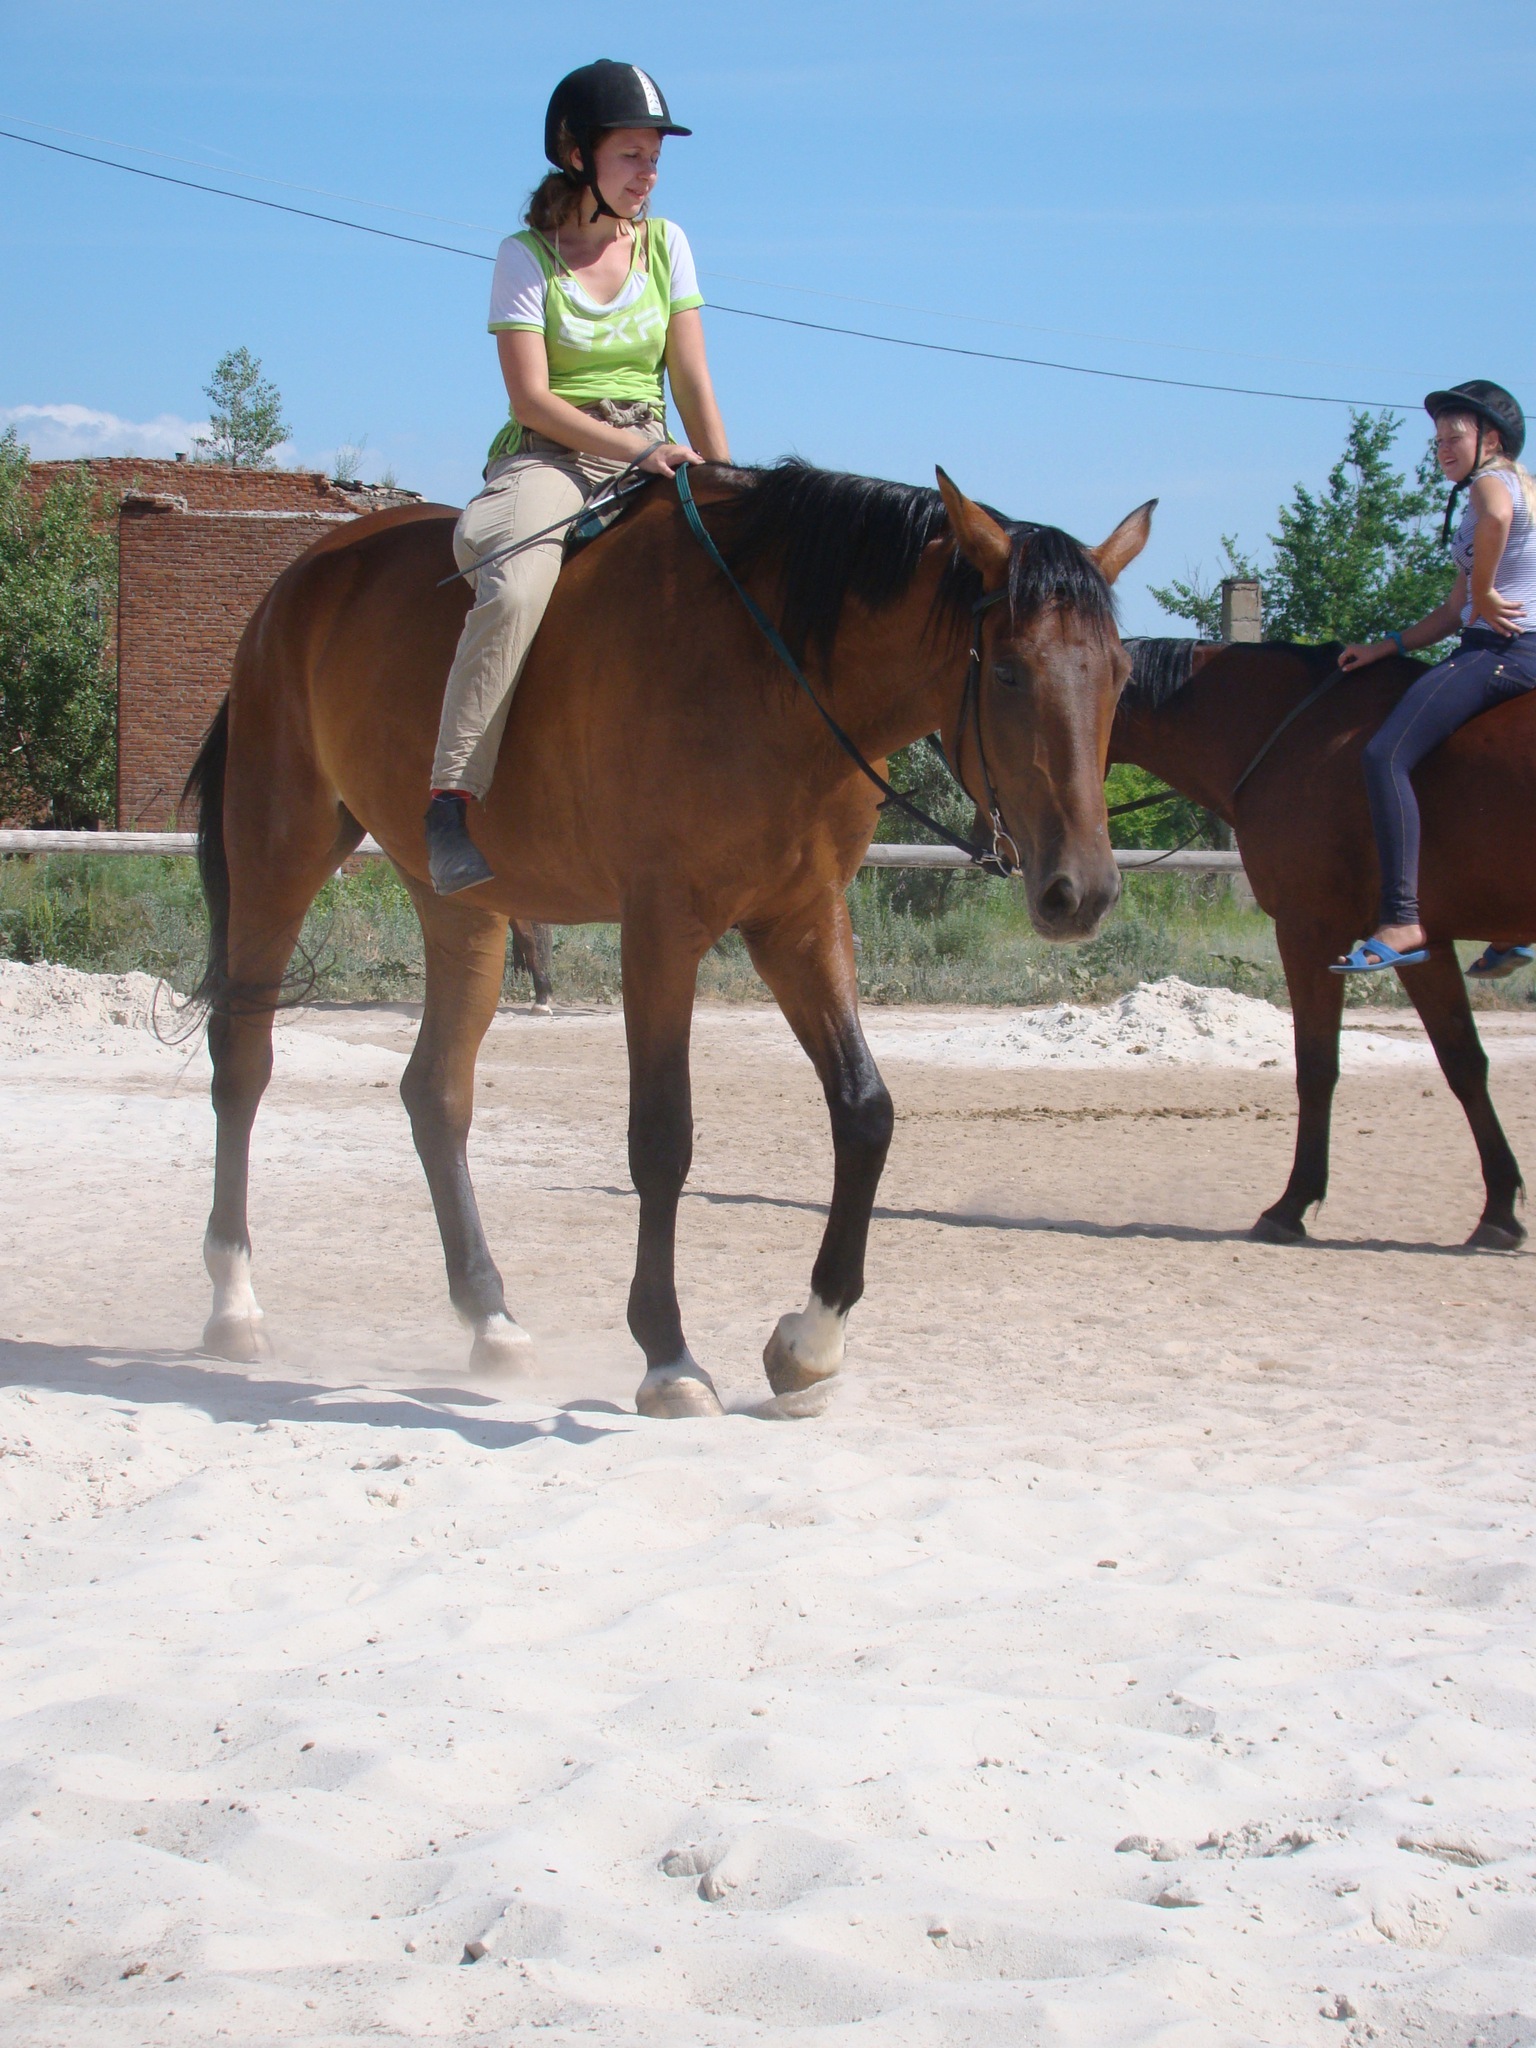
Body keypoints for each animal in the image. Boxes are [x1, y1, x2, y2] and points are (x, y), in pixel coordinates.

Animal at [189, 460, 1155, 1425]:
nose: (1084, 892)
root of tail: (301, 581)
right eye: (1011, 672)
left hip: (462, 909)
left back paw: (491, 1320)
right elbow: (662, 1138)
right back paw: (233, 1304)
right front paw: (669, 1357)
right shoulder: (660, 930)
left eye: (1119, 676)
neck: (773, 669)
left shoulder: (801, 920)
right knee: (243, 1063)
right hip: (279, 852)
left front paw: (810, 1343)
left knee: (437, 1093)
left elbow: (865, 1112)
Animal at [1114, 638, 1531, 1245]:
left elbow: (1315, 1066)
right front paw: (1499, 1209)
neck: (1290, 733)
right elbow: (1462, 1062)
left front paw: (1290, 1204)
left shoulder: (1309, 927)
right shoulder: (1424, 943)